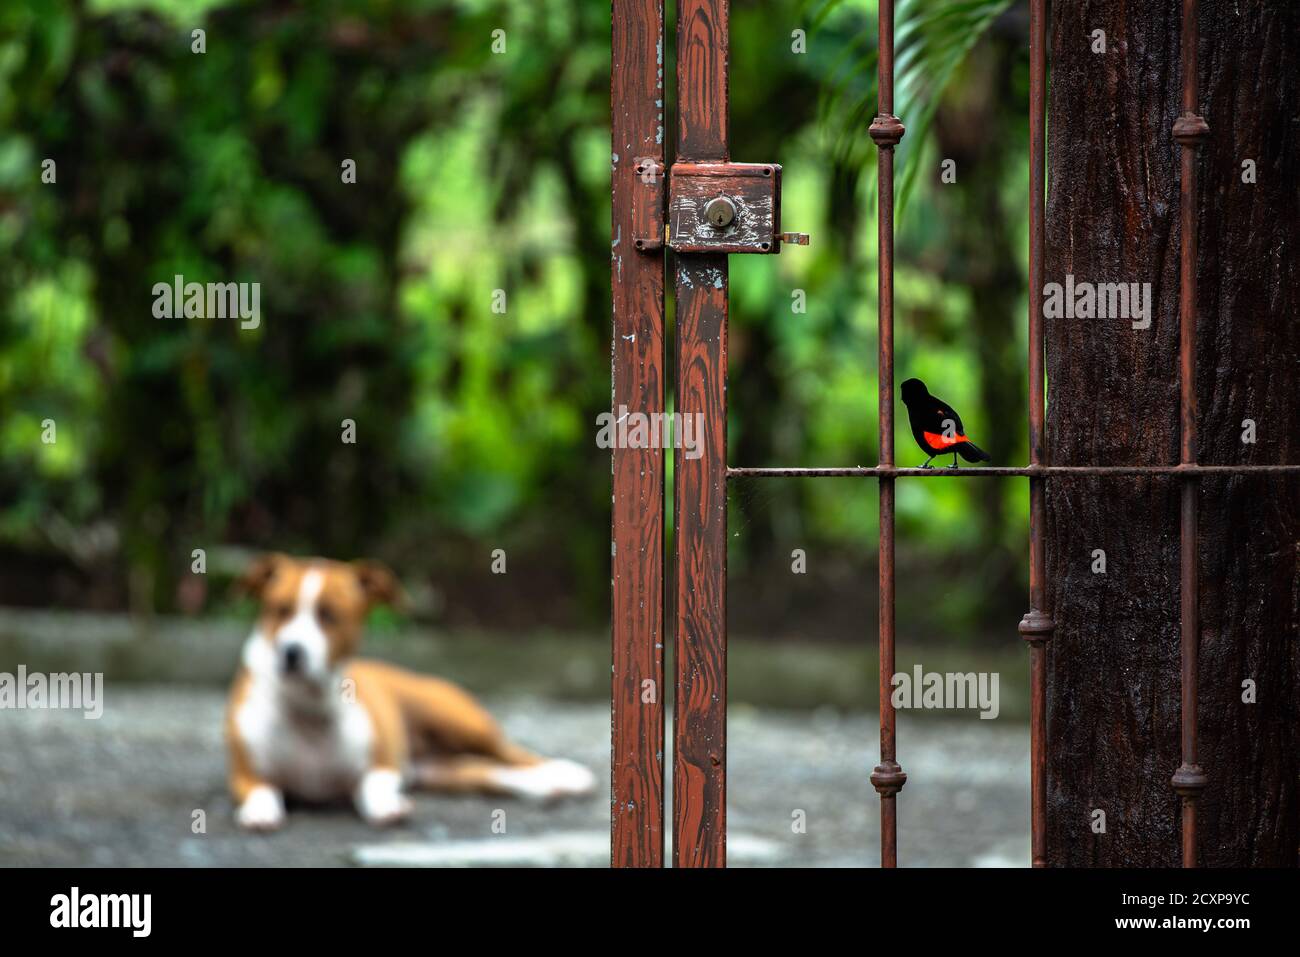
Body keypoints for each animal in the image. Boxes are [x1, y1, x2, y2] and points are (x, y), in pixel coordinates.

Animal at [226, 553, 595, 832]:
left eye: (329, 615)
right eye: (279, 609)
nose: (291, 652)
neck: (306, 705)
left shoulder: (385, 764)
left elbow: (373, 788)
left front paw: (388, 805)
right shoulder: (244, 774)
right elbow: (262, 791)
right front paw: (259, 812)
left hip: (458, 722)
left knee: (510, 753)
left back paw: (564, 774)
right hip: (437, 770)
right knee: (488, 771)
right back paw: (547, 786)